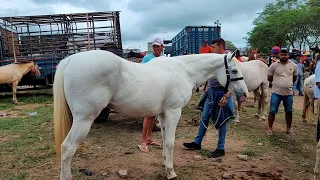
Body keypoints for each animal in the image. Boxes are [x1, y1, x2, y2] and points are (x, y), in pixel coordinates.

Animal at [53, 49, 248, 180]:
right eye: (235, 70)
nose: (244, 93)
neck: (183, 71)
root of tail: (71, 59)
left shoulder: (162, 114)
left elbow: (164, 140)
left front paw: (166, 165)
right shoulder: (173, 112)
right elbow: (170, 142)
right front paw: (171, 172)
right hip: (84, 120)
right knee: (67, 148)